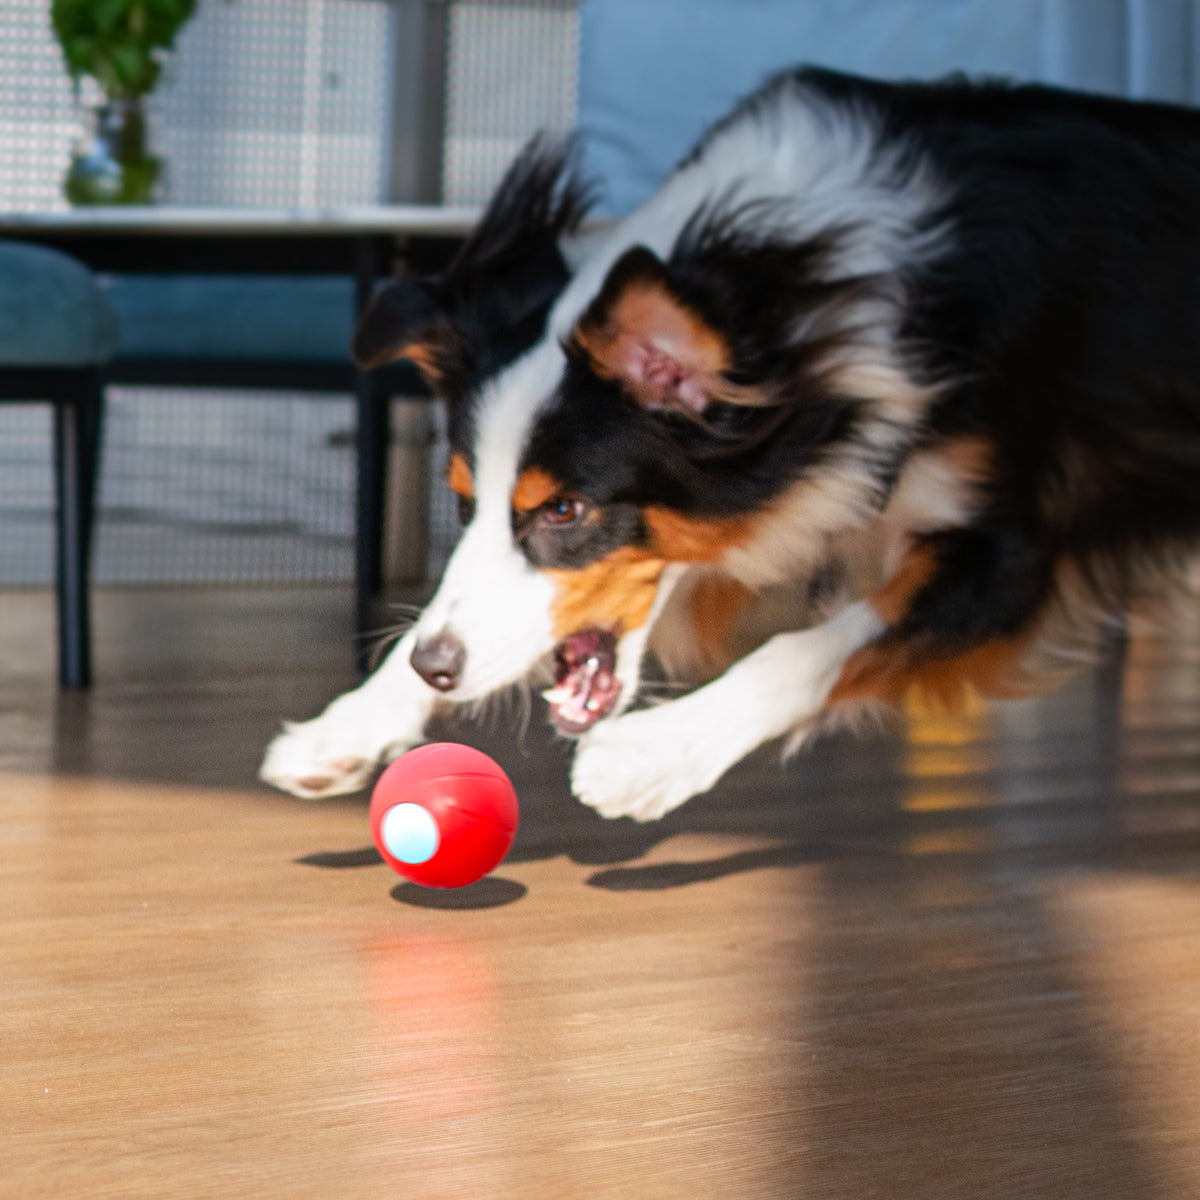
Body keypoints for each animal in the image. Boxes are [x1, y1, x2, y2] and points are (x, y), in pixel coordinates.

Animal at [258, 68, 1200, 825]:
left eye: (566, 509)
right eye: (462, 500)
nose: (436, 670)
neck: (793, 301)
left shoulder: (1012, 552)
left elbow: (811, 646)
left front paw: (653, 757)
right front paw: (352, 721)